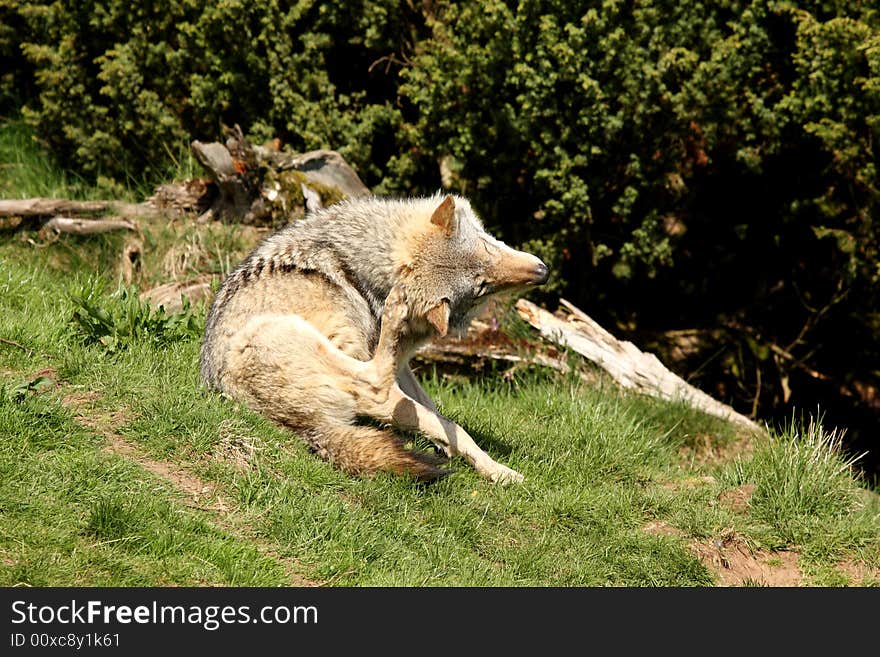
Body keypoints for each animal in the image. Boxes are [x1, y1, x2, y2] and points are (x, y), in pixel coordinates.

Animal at [201, 193, 552, 482]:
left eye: (487, 249)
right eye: (481, 286)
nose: (543, 272)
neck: (362, 273)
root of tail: (306, 426)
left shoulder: (405, 365)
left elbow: (434, 411)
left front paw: (449, 446)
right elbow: (441, 419)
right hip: (292, 336)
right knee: (376, 385)